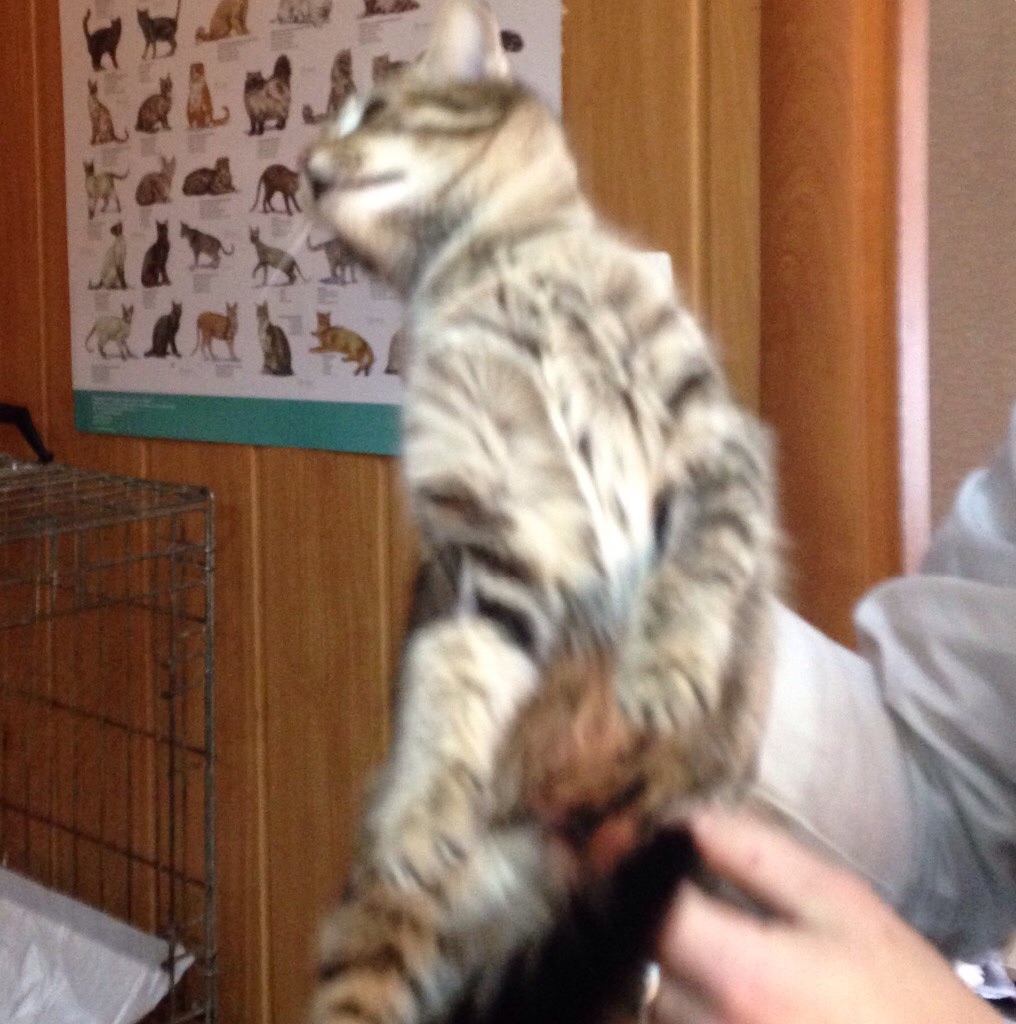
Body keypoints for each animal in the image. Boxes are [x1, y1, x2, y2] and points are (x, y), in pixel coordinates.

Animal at [300, 4, 778, 1024]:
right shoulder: (496, 539)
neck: (501, 268)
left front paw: (664, 668)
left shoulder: (710, 442)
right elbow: (458, 673)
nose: (310, 170)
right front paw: (427, 807)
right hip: (376, 940)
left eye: (373, 112)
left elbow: (694, 572)